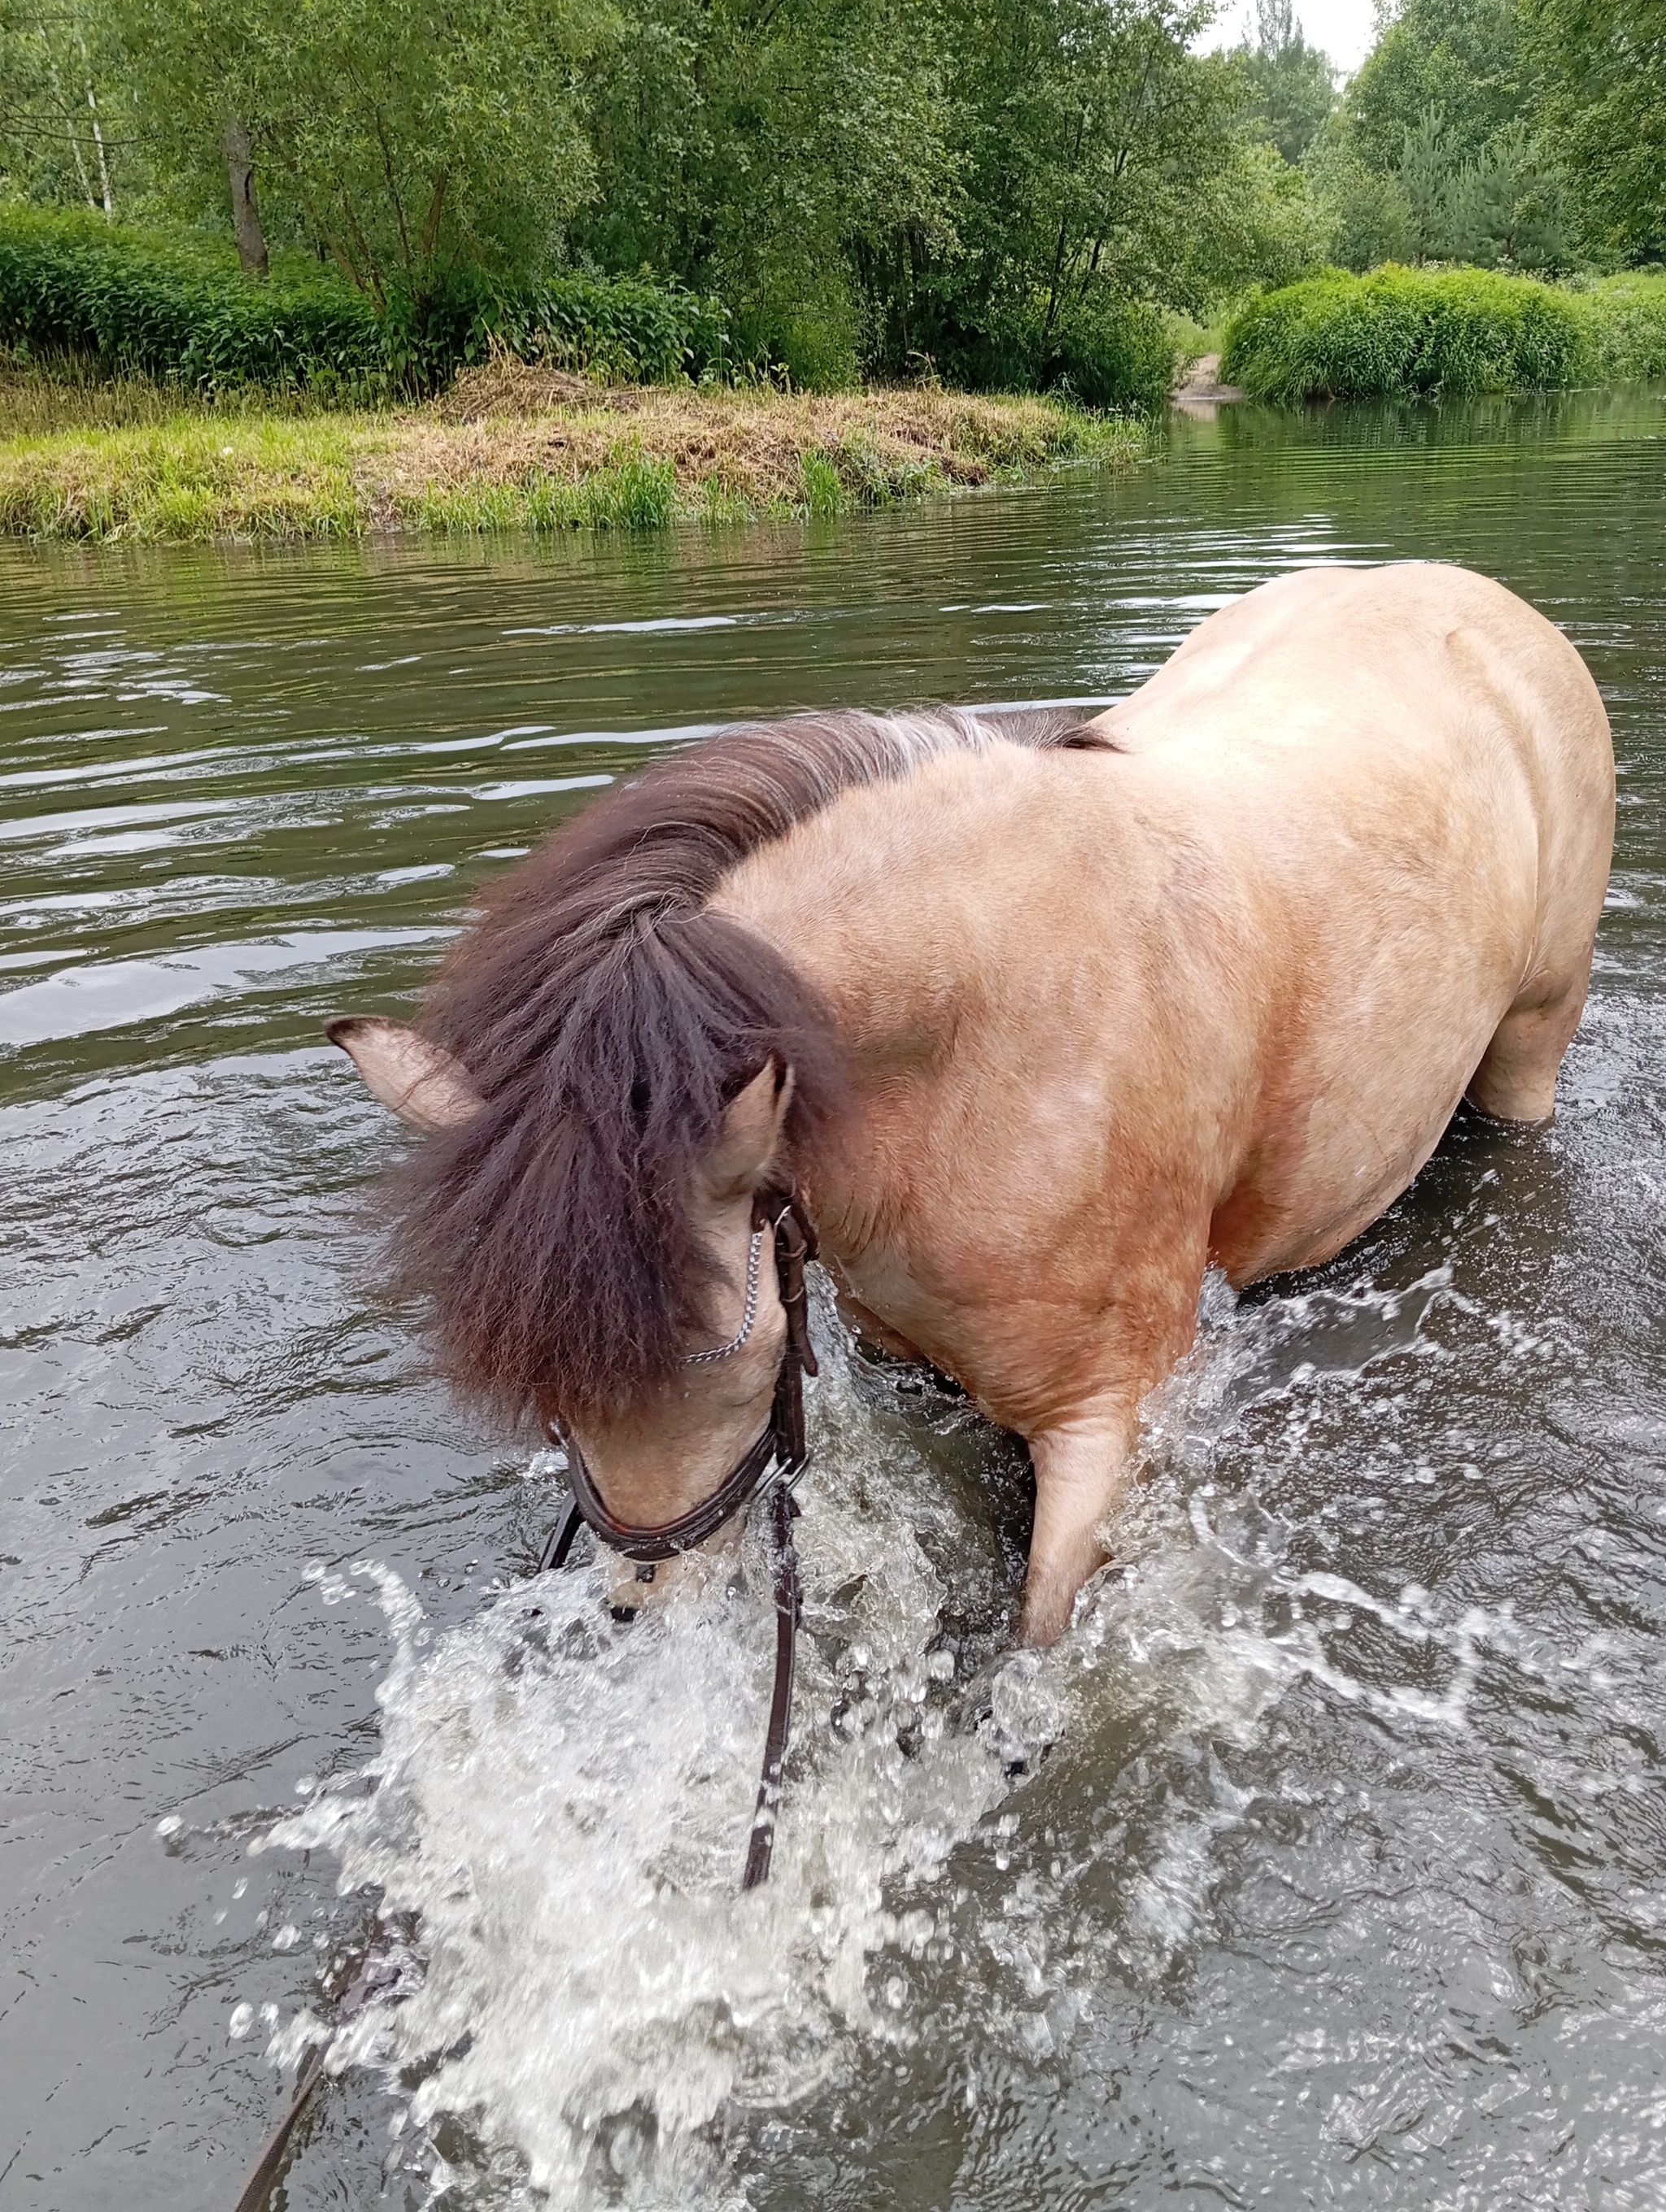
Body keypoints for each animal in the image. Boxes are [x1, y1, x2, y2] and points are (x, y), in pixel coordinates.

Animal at [325, 561, 1611, 1654]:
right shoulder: (909, 1368)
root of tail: (1485, 601)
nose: (644, 1603)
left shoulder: (1109, 1424)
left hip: (1530, 1050)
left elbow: (1038, 1653)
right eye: (545, 1400)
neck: (991, 1052)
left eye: (732, 1368)